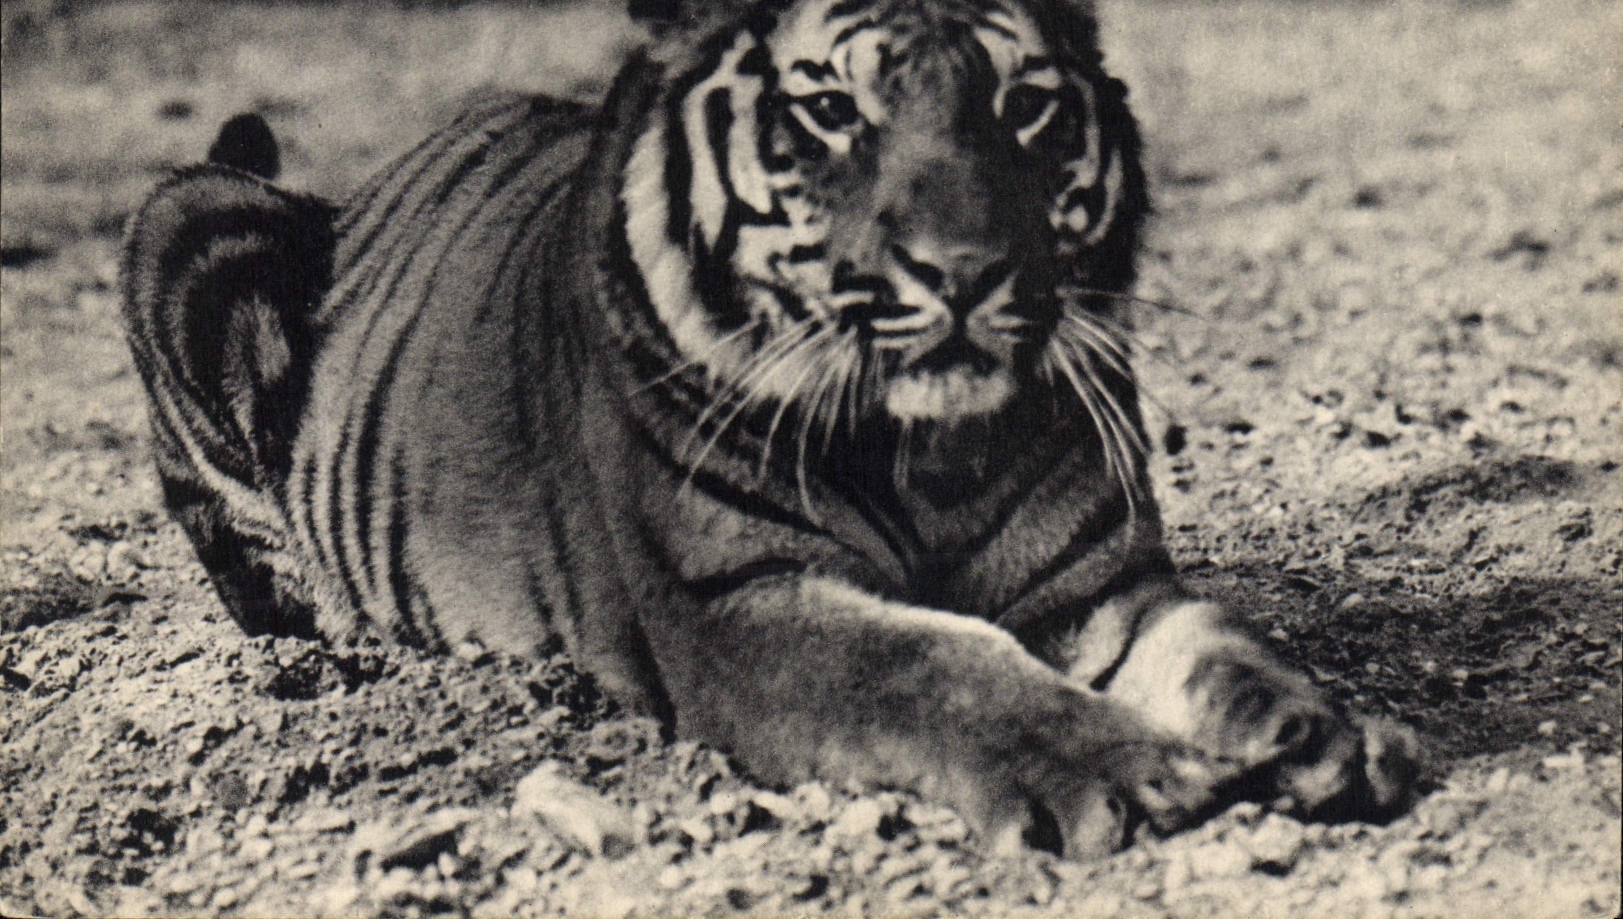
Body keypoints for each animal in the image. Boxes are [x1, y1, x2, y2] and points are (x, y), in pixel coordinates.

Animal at [121, 0, 1421, 857]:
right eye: (834, 112)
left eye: (1024, 106)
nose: (964, 271)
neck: (926, 449)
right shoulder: (740, 608)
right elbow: (939, 668)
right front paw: (1133, 772)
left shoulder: (1095, 586)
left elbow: (1224, 647)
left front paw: (1325, 732)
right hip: (187, 224)